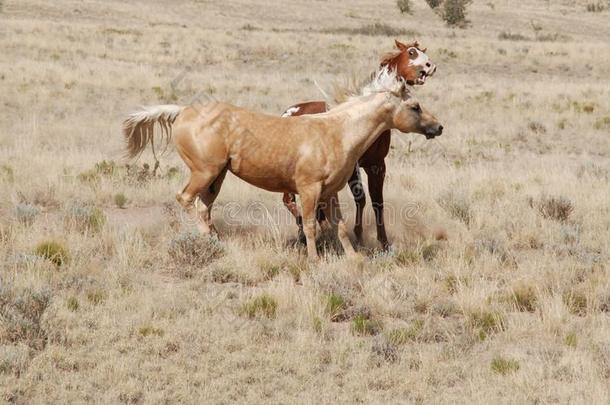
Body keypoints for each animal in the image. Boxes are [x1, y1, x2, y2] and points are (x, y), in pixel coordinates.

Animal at [123, 67, 440, 258]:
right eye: (415, 107)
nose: (438, 128)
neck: (336, 131)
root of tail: (182, 111)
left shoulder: (331, 192)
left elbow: (338, 225)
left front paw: (354, 258)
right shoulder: (309, 190)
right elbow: (311, 225)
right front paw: (314, 259)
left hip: (217, 177)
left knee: (204, 207)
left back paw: (216, 241)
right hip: (205, 172)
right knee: (186, 199)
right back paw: (208, 239)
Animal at [282, 41, 434, 249]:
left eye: (422, 51)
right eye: (411, 52)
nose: (431, 66)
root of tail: (289, 112)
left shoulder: (376, 165)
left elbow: (377, 201)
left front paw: (383, 243)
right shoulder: (353, 165)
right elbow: (360, 198)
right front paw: (358, 236)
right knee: (289, 200)